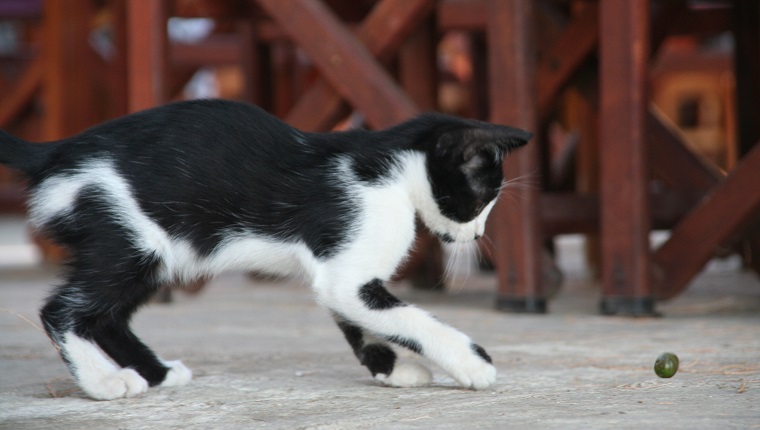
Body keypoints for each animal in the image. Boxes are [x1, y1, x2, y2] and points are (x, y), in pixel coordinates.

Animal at [0, 98, 532, 400]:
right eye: (481, 199)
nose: (477, 237)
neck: (390, 173)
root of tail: (58, 150)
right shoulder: (349, 264)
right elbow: (409, 318)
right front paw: (469, 362)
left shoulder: (338, 271)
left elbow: (358, 318)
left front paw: (393, 367)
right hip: (128, 239)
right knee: (63, 310)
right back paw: (102, 383)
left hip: (152, 251)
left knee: (107, 316)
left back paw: (156, 374)